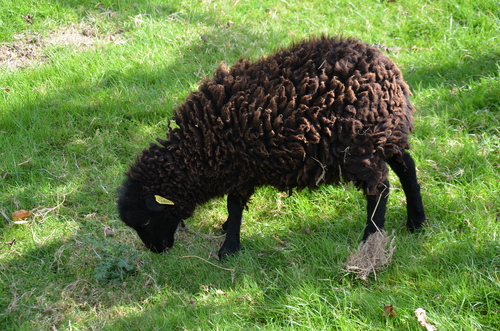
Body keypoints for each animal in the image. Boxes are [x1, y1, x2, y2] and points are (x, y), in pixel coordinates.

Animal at [117, 35, 426, 256]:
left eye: (146, 221)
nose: (157, 251)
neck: (198, 150)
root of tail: (390, 71)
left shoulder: (240, 168)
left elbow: (234, 205)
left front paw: (229, 248)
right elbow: (235, 206)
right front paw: (226, 232)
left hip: (359, 145)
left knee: (380, 188)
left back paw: (370, 237)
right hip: (383, 136)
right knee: (406, 166)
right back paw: (417, 222)